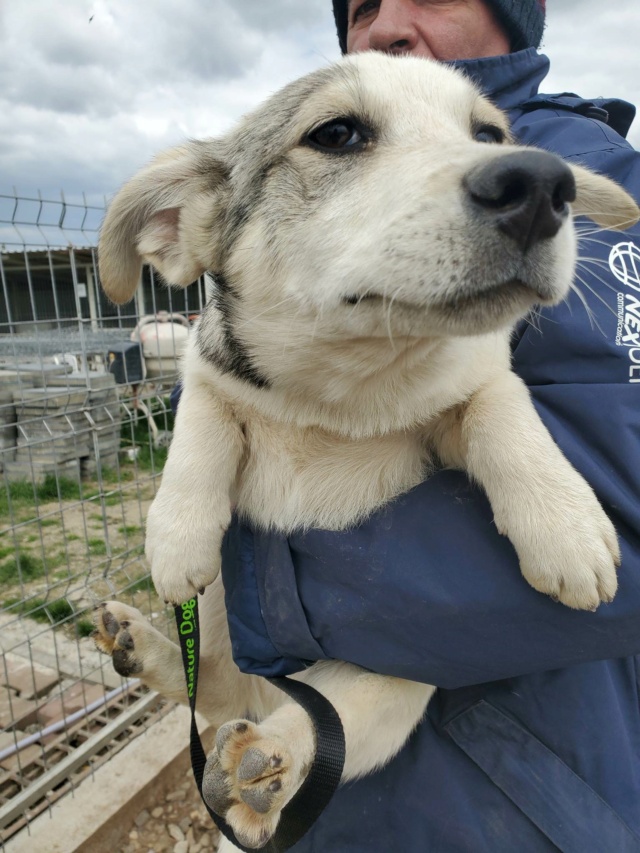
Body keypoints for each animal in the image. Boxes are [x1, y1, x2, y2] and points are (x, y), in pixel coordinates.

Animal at [94, 55, 636, 852]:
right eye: (337, 134)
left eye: (488, 134)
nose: (544, 186)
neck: (341, 397)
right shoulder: (210, 366)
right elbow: (202, 423)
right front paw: (177, 535)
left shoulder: (475, 379)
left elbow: (501, 406)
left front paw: (566, 528)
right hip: (223, 622)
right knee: (216, 686)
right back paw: (144, 645)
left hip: (395, 679)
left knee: (313, 721)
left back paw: (266, 757)